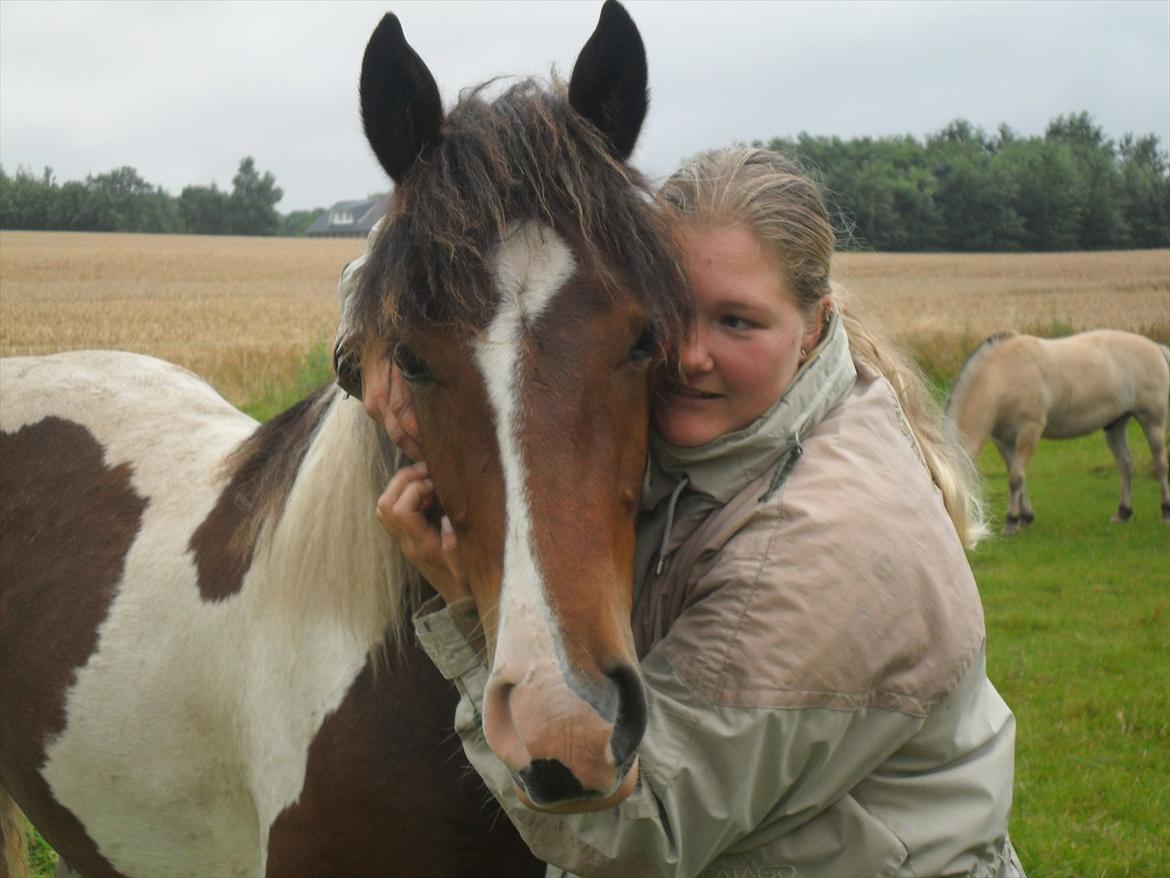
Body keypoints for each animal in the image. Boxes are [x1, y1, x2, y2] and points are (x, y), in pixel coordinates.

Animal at [945, 330, 1170, 536]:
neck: (1003, 376)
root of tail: (1157, 348)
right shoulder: (1003, 441)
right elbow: (1017, 477)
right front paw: (1025, 518)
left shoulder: (1029, 431)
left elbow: (1016, 478)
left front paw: (1011, 522)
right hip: (1116, 424)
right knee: (1125, 464)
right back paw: (1123, 513)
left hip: (1152, 422)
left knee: (1160, 464)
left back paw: (1165, 512)